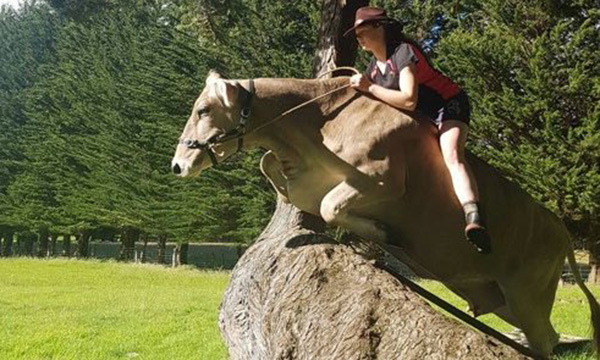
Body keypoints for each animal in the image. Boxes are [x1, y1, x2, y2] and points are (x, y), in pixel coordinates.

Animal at [171, 71, 596, 358]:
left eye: (203, 109)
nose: (177, 165)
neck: (318, 125)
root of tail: (560, 230)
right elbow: (271, 168)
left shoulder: (383, 179)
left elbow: (330, 205)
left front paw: (382, 235)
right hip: (506, 298)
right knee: (548, 338)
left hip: (529, 293)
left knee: (544, 343)